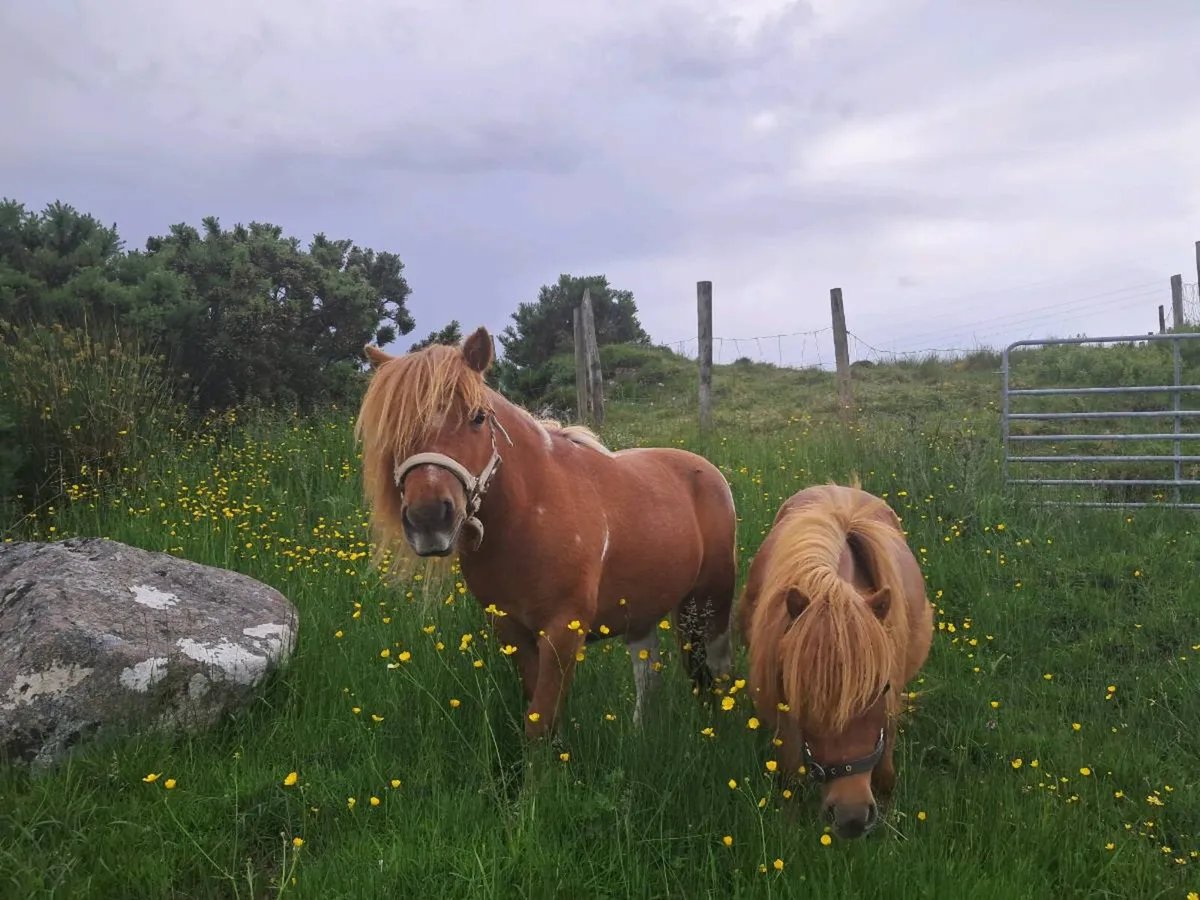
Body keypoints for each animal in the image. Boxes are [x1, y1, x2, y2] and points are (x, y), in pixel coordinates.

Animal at [354, 326, 739, 741]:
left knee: (715, 669)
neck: (528, 515)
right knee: (646, 669)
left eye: (478, 417)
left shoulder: (562, 631)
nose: (428, 519)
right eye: (393, 428)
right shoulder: (511, 630)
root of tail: (708, 471)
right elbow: (542, 714)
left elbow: (539, 721)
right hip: (644, 609)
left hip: (708, 602)